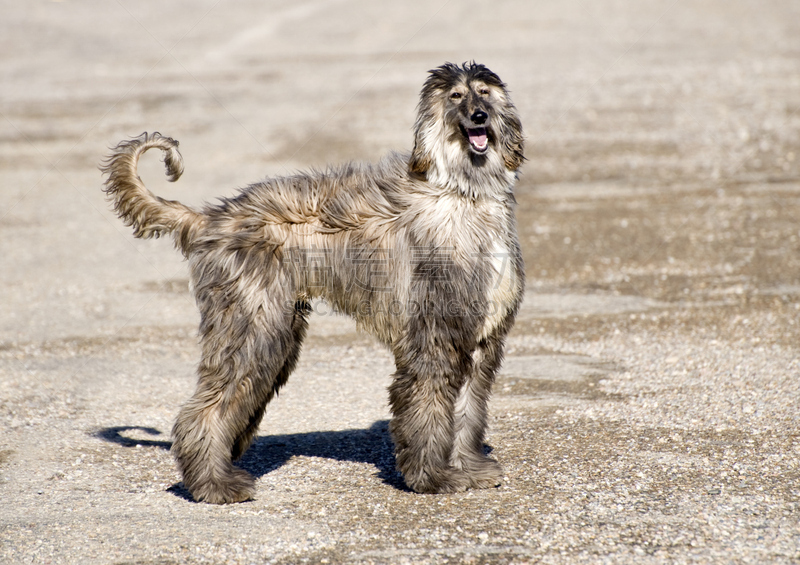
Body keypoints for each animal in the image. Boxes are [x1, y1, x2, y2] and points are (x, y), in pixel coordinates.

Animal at [100, 60, 524, 502]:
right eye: (456, 96)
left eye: (484, 92)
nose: (480, 117)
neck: (464, 195)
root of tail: (207, 219)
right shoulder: (433, 333)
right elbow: (428, 404)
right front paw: (433, 477)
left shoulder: (482, 337)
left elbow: (469, 410)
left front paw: (469, 469)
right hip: (254, 324)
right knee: (204, 408)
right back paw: (215, 484)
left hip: (276, 328)